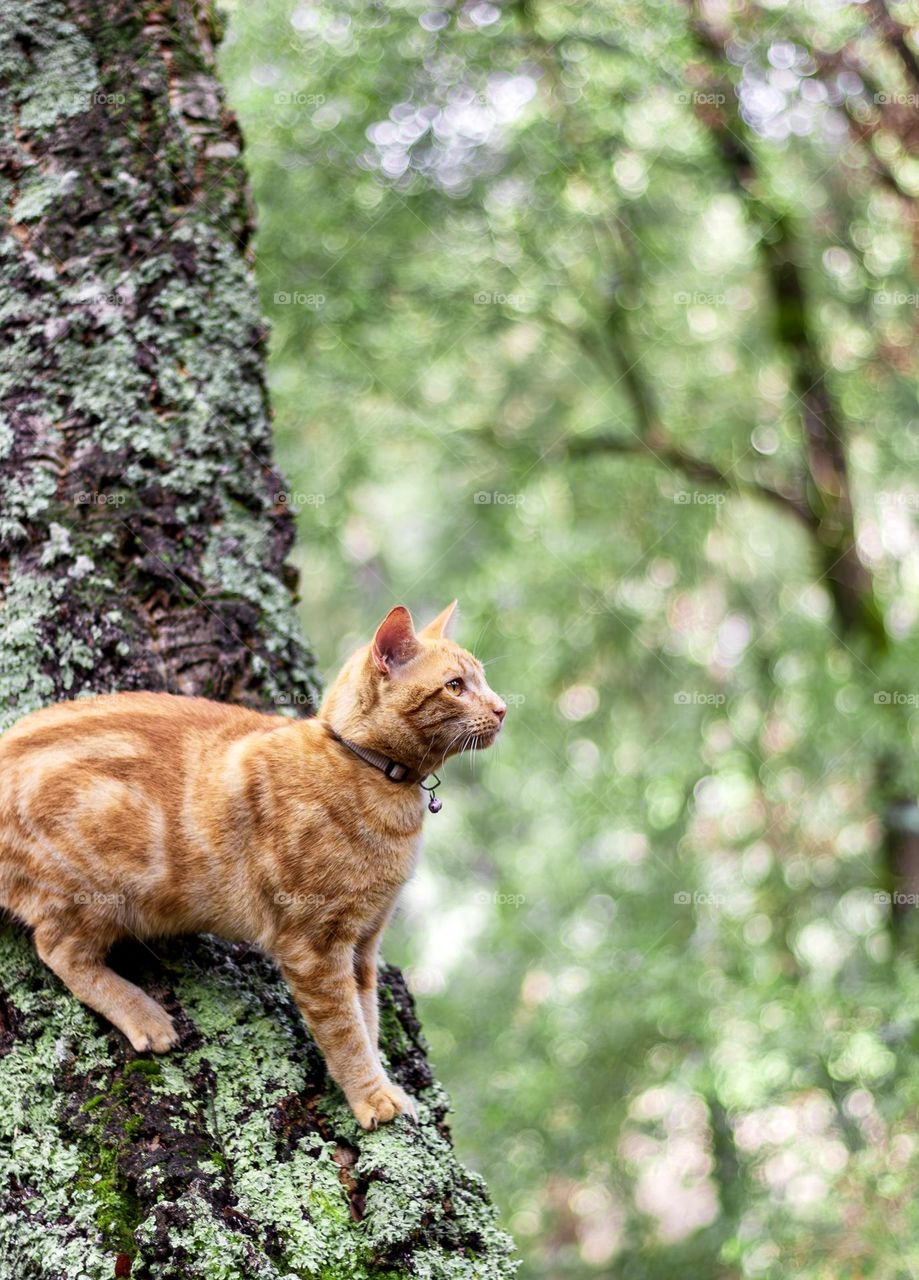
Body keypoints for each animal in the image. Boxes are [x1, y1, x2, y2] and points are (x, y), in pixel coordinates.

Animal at [0, 601, 506, 1131]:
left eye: (483, 680)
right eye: (456, 686)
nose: (502, 708)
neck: (370, 775)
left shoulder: (364, 944)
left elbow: (366, 1019)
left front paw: (386, 1086)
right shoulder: (314, 947)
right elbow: (345, 1031)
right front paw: (372, 1097)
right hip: (98, 888)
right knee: (59, 951)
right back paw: (144, 1016)